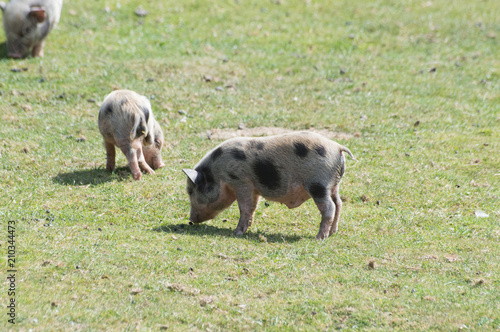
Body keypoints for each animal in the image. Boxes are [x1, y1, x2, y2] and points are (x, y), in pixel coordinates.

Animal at [184, 131, 356, 240]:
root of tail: (337, 147)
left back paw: (319, 238)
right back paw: (332, 233)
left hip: (318, 184)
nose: (190, 219)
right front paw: (245, 229)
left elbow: (244, 207)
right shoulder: (253, 188)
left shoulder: (241, 181)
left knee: (329, 207)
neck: (217, 172)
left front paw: (236, 233)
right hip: (333, 185)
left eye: (191, 191)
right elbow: (252, 207)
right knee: (338, 203)